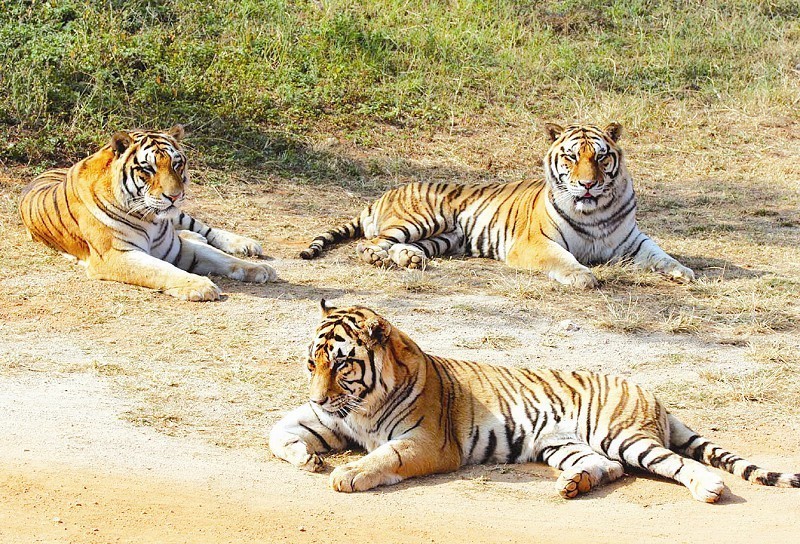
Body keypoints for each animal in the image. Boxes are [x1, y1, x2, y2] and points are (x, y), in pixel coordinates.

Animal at [18, 125, 276, 301]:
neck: (151, 219)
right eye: (148, 169)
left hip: (180, 216)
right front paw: (199, 286)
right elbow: (161, 269)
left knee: (204, 229)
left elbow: (221, 257)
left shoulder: (176, 247)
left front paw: (260, 269)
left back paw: (245, 244)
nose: (174, 196)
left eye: (176, 164)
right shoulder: (116, 255)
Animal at [270, 301, 800, 502]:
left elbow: (384, 456)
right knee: (609, 468)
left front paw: (345, 474)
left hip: (624, 435)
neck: (362, 405)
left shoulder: (428, 443)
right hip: (561, 443)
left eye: (342, 366)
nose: (319, 397)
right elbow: (278, 430)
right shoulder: (332, 420)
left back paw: (709, 487)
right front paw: (308, 458)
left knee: (674, 462)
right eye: (312, 364)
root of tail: (654, 395)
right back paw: (572, 485)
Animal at [300, 123, 693, 288]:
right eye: (570, 157)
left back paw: (411, 260)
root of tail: (384, 194)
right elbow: (564, 259)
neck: (594, 211)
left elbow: (662, 256)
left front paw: (683, 272)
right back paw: (377, 257)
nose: (587, 184)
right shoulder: (535, 244)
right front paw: (583, 276)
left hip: (445, 237)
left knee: (402, 248)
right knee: (373, 243)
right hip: (422, 219)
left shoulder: (633, 241)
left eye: (600, 157)